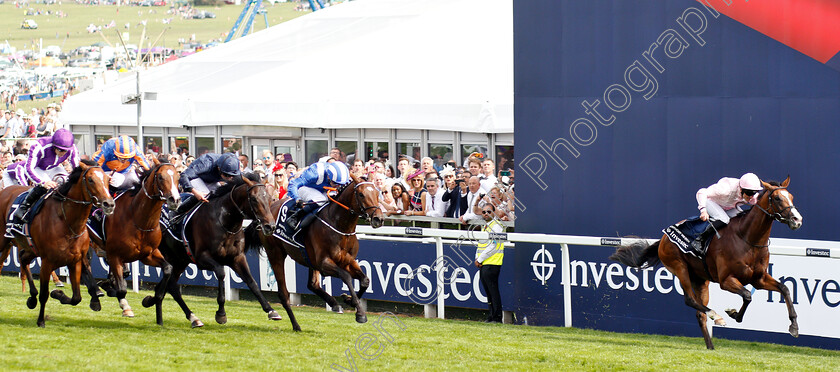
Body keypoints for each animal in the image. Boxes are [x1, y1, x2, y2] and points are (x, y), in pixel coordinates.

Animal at [0, 160, 114, 326]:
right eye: (91, 180)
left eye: (107, 179)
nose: (109, 204)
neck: (68, 222)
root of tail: (4, 190)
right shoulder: (47, 262)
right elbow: (44, 294)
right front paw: (41, 320)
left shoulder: (75, 261)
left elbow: (76, 297)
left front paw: (59, 294)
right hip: (4, 241)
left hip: (29, 248)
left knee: (22, 259)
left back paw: (31, 298)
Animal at [84, 158, 181, 324]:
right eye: (161, 177)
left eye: (178, 177)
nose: (175, 200)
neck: (139, 220)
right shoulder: (115, 255)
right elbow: (122, 288)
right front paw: (125, 307)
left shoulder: (148, 255)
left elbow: (168, 268)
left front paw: (151, 300)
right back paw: (96, 296)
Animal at [154, 173, 276, 326]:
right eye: (254, 199)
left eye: (270, 198)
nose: (270, 226)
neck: (225, 222)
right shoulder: (202, 258)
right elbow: (221, 273)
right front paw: (221, 313)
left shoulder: (237, 257)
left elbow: (251, 282)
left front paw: (270, 310)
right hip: (166, 256)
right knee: (170, 286)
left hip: (179, 260)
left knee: (169, 286)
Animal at [244, 174, 386, 332]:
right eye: (361, 194)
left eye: (377, 193)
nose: (379, 218)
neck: (340, 226)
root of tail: (267, 212)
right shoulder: (324, 262)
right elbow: (346, 277)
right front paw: (360, 313)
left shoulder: (347, 261)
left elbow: (365, 280)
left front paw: (349, 300)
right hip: (275, 253)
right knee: (283, 293)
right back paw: (295, 324)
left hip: (308, 259)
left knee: (313, 285)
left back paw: (334, 304)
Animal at [612, 177, 804, 348]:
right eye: (777, 198)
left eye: (792, 196)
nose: (797, 220)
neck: (748, 239)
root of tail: (663, 238)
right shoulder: (726, 280)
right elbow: (747, 295)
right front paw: (733, 314)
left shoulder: (759, 279)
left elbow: (785, 289)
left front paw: (794, 327)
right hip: (679, 268)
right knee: (690, 300)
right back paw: (716, 316)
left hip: (700, 280)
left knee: (700, 313)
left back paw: (711, 346)